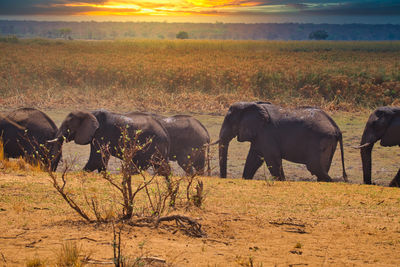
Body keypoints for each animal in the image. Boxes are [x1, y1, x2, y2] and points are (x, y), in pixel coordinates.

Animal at [217, 101, 346, 183]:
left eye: (229, 121)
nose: (224, 178)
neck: (252, 104)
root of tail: (336, 128)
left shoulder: (267, 133)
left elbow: (272, 159)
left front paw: (282, 181)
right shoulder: (259, 135)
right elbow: (254, 158)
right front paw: (246, 179)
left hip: (321, 140)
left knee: (314, 167)